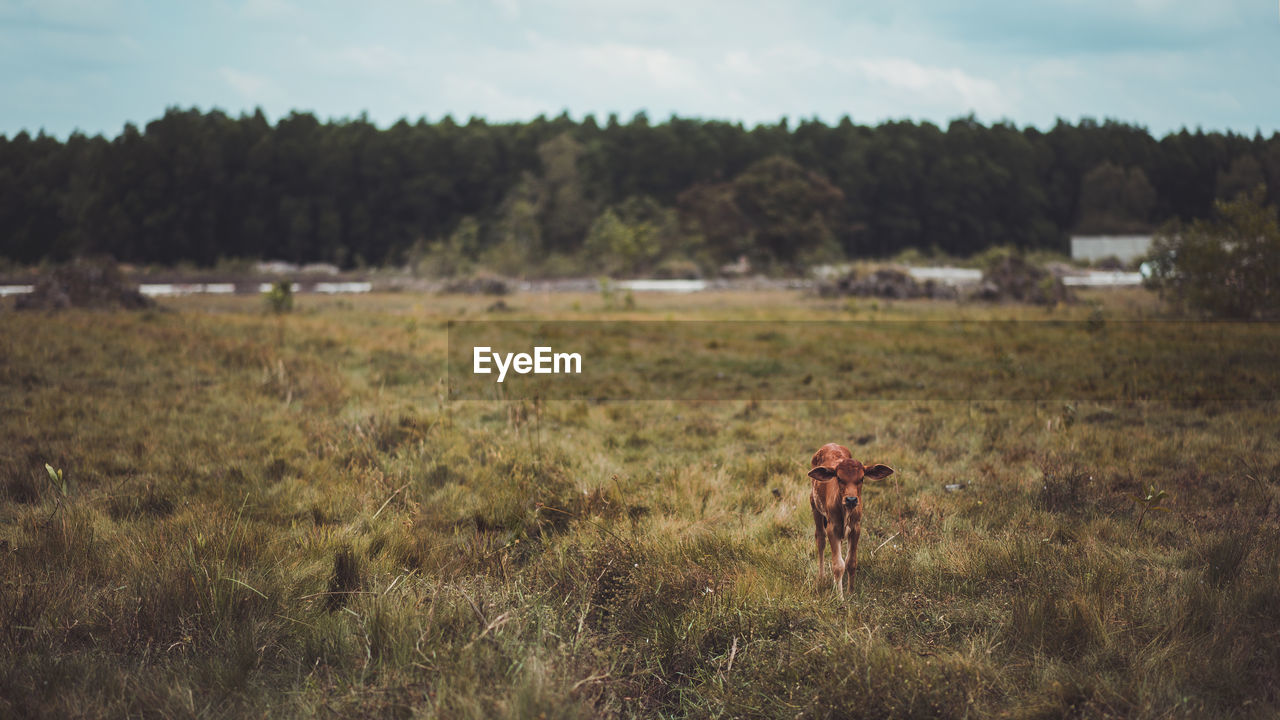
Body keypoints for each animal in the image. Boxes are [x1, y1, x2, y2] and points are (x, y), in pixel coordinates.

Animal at [808, 440, 890, 597]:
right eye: (839, 478)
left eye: (862, 478)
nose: (851, 499)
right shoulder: (832, 528)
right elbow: (838, 565)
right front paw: (839, 597)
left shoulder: (856, 528)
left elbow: (851, 562)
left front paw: (851, 592)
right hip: (814, 506)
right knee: (820, 539)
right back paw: (821, 577)